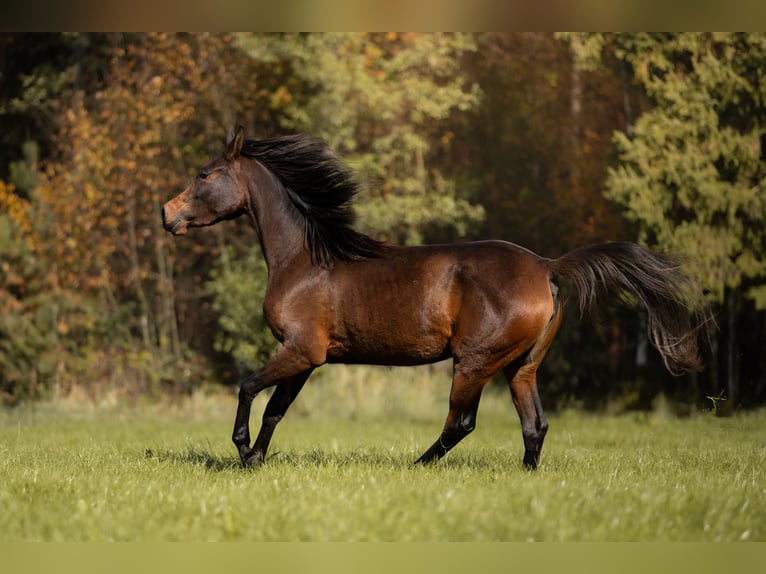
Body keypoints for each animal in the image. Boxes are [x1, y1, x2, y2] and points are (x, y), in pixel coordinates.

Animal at [162, 126, 712, 470]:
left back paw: (416, 465)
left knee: (461, 422)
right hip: (522, 365)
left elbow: (248, 388)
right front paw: (255, 460)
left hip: (474, 361)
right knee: (535, 425)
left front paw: (240, 452)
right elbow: (275, 409)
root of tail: (545, 266)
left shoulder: (300, 350)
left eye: (204, 173)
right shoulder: (309, 357)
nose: (166, 214)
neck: (303, 259)